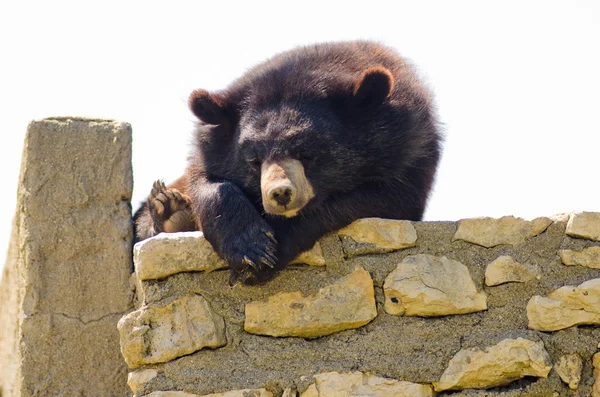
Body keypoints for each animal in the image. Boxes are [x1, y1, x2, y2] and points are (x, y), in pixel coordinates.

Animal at [137, 40, 446, 284]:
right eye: (254, 160)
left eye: (307, 153)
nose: (280, 194)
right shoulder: (208, 152)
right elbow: (207, 181)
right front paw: (250, 248)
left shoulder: (409, 155)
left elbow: (358, 201)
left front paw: (264, 257)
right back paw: (168, 209)